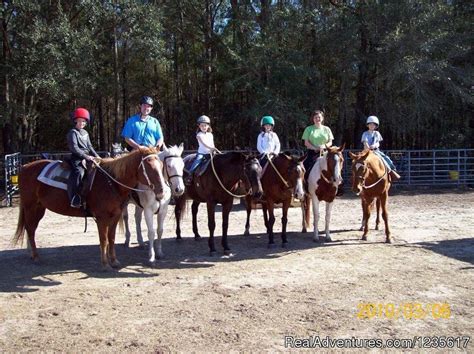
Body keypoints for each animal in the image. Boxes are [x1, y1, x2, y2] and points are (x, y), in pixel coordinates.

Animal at [12, 148, 166, 270]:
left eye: (161, 165)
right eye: (149, 167)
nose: (161, 191)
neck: (111, 182)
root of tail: (24, 167)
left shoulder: (115, 216)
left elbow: (111, 238)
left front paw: (114, 261)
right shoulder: (102, 218)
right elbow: (103, 239)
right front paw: (105, 264)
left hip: (39, 208)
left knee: (30, 229)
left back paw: (31, 254)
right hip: (30, 207)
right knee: (30, 229)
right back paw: (35, 256)